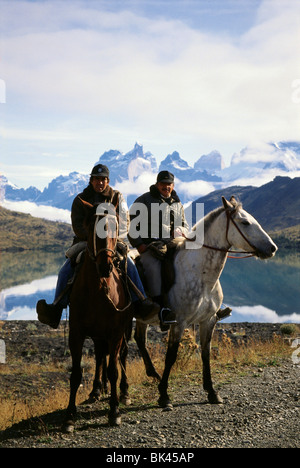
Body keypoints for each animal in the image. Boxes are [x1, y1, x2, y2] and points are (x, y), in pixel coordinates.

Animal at [65, 198, 134, 432]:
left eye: (114, 227)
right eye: (91, 228)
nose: (106, 266)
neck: (98, 290)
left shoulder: (115, 332)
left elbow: (113, 369)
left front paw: (114, 412)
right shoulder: (77, 333)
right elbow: (76, 373)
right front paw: (70, 416)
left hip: (124, 330)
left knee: (121, 355)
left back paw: (124, 392)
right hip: (97, 335)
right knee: (99, 356)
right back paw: (96, 389)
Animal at [132, 196, 278, 408]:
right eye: (244, 222)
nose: (272, 248)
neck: (201, 274)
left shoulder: (208, 321)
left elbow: (206, 354)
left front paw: (212, 392)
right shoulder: (179, 322)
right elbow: (171, 356)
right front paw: (164, 395)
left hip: (142, 319)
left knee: (139, 340)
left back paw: (152, 375)